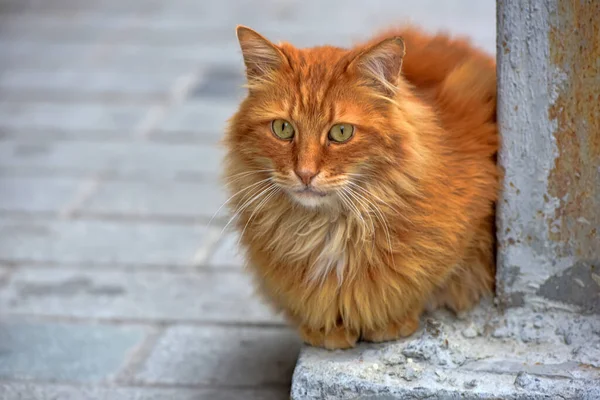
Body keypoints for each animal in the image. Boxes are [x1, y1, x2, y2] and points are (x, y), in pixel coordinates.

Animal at [223, 25, 500, 350]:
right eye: (283, 129)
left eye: (341, 132)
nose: (305, 173)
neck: (328, 229)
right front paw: (326, 330)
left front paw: (389, 322)